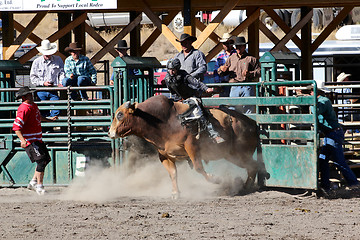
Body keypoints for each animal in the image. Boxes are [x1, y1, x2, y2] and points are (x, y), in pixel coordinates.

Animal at [108, 94, 266, 198]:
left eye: (120, 114)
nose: (110, 132)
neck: (164, 121)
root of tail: (252, 123)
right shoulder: (164, 155)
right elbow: (173, 173)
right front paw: (175, 193)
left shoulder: (192, 147)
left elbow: (198, 167)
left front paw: (216, 179)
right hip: (232, 155)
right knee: (253, 166)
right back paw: (244, 188)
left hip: (241, 153)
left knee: (253, 166)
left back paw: (243, 188)